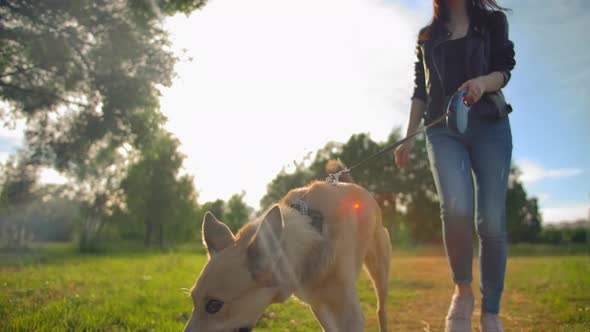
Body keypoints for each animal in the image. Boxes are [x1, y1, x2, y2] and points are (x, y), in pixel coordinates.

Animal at [185, 179, 394, 332]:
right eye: (193, 300)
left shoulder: (350, 316)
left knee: (381, 310)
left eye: (214, 305)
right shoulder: (317, 304)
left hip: (380, 273)